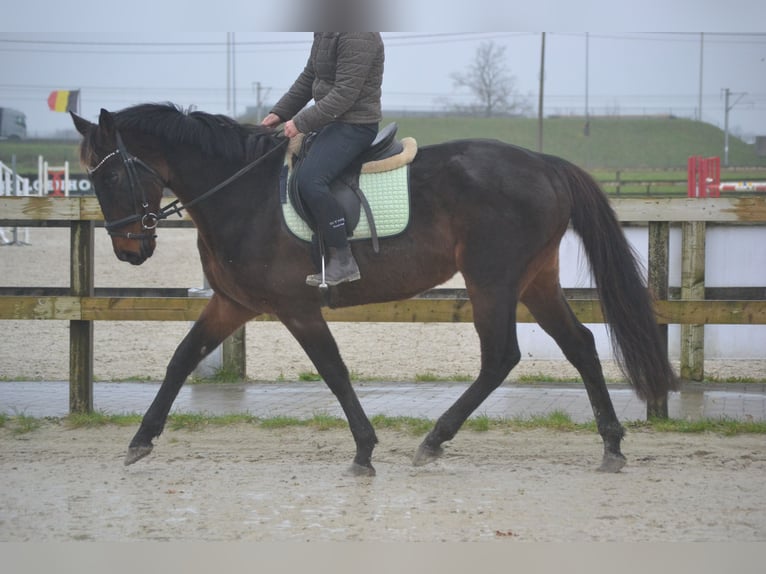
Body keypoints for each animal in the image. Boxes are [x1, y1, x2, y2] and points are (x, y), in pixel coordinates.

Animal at [70, 103, 680, 476]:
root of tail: (546, 164)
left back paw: (435, 440)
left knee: (501, 356)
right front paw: (141, 440)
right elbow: (181, 359)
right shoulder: (232, 304)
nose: (129, 250)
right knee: (580, 345)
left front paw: (364, 450)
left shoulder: (296, 307)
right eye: (90, 179)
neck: (240, 193)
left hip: (493, 280)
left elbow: (334, 371)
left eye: (112, 175)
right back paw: (611, 445)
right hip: (536, 280)